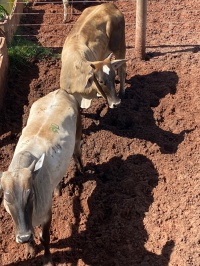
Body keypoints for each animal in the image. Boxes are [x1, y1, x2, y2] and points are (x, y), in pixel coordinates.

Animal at [0, 89, 82, 266]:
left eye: (30, 194)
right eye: (7, 198)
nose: (23, 237)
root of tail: (60, 91)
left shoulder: (46, 214)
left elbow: (45, 238)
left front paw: (47, 259)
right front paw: (30, 250)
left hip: (78, 135)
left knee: (77, 154)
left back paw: (82, 171)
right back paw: (57, 190)